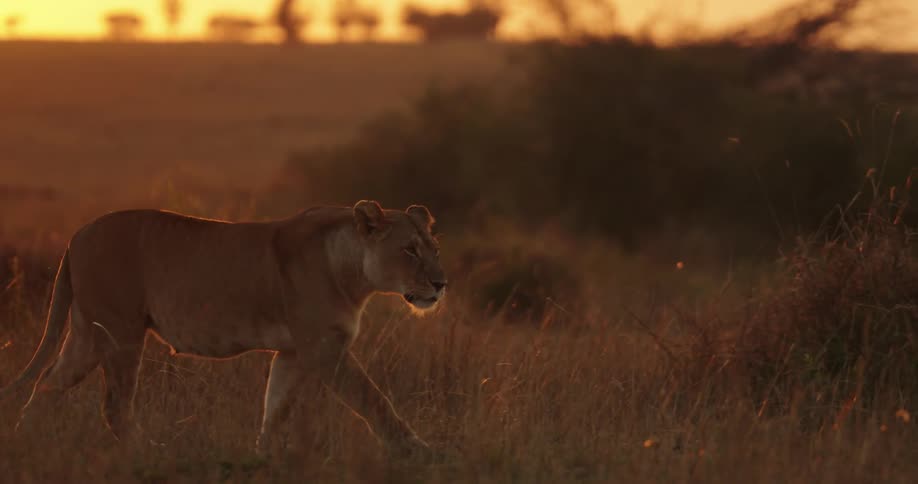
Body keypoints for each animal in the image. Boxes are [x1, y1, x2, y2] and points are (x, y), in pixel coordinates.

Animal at [0, 200, 446, 456]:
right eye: (409, 250)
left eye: (434, 249)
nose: (442, 283)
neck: (354, 272)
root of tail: (75, 235)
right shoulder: (323, 349)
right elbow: (374, 400)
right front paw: (417, 450)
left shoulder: (293, 352)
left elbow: (275, 406)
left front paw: (263, 457)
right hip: (119, 333)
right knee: (114, 406)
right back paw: (151, 450)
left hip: (86, 337)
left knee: (47, 384)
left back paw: (26, 440)